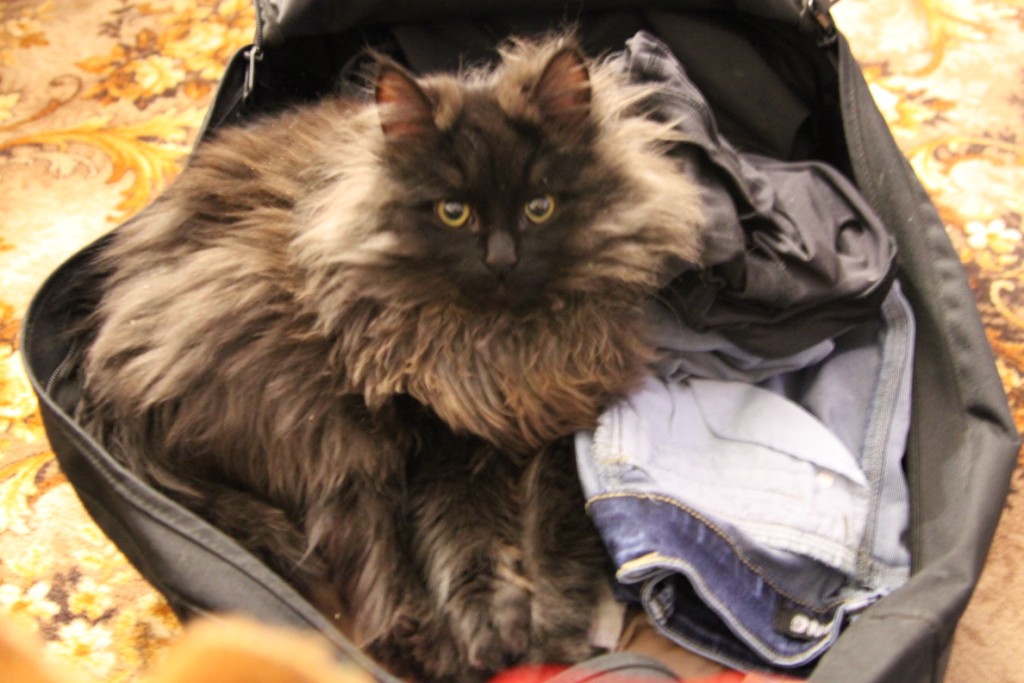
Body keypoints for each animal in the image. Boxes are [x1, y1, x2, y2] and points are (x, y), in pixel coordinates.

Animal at [74, 34, 706, 682]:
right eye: (454, 212)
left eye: (540, 207)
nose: (501, 260)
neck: (496, 344)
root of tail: (107, 379)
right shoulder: (436, 440)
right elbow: (463, 540)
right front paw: (488, 630)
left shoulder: (566, 425)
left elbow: (553, 530)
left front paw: (553, 621)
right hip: (334, 421)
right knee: (369, 557)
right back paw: (430, 650)